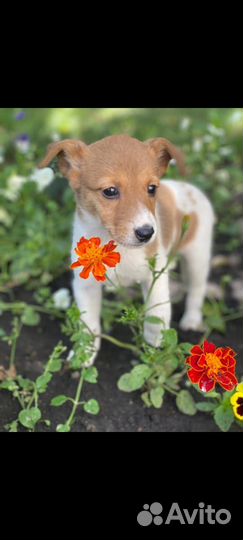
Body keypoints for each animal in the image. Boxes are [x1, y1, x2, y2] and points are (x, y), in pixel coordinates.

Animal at [39, 134, 215, 362]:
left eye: (152, 188)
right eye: (110, 191)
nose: (147, 233)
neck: (116, 245)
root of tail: (190, 188)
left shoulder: (155, 277)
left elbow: (156, 315)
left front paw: (155, 349)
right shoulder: (85, 286)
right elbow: (89, 325)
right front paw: (84, 355)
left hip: (197, 256)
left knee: (196, 290)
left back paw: (191, 319)